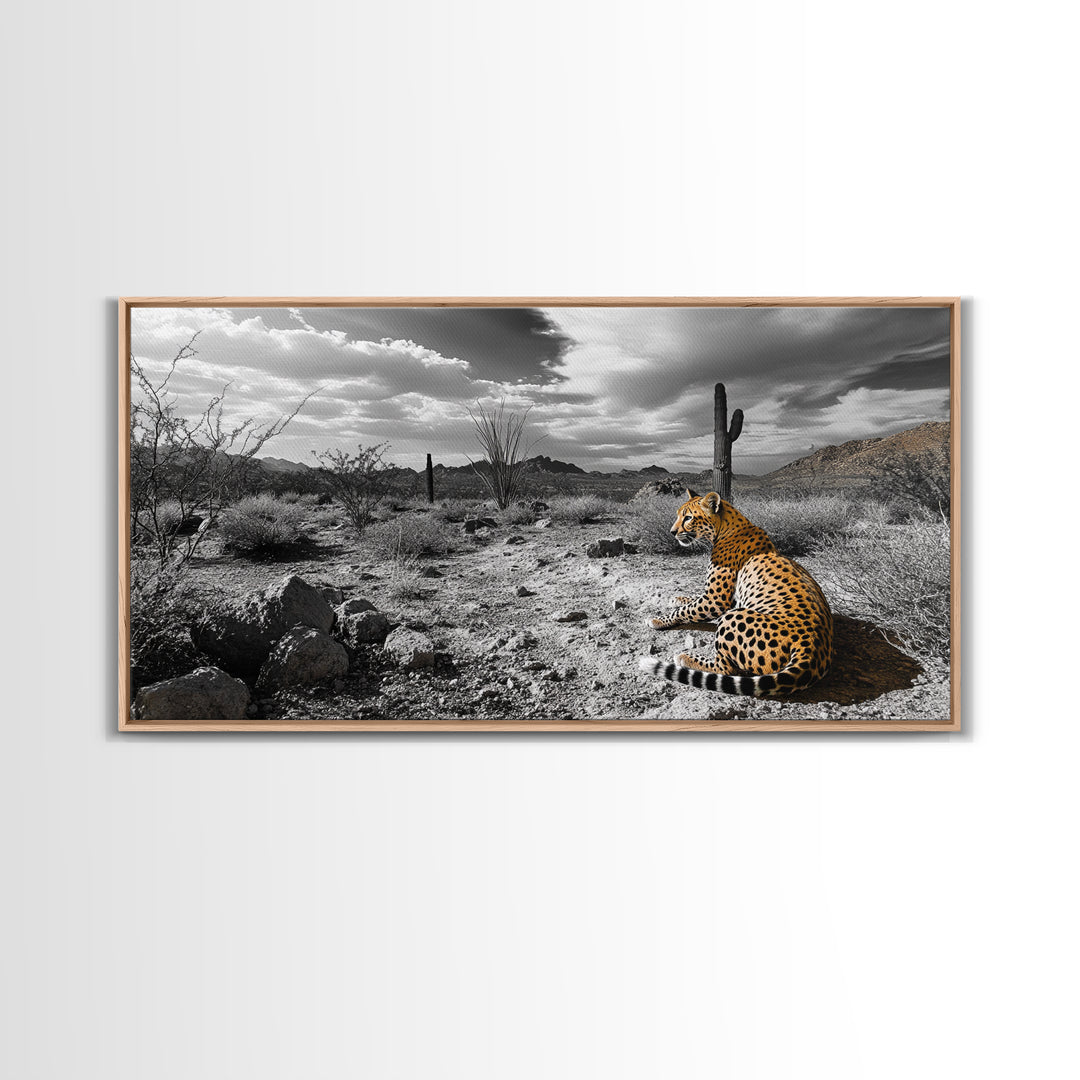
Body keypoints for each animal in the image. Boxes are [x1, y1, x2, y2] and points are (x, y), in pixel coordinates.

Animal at [638, 489, 833, 696]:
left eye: (688, 517)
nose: (672, 532)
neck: (726, 528)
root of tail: (813, 646)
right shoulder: (723, 598)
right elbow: (691, 601)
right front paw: (678, 599)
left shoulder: (716, 600)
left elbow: (686, 611)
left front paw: (658, 620)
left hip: (732, 617)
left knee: (726, 669)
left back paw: (686, 657)